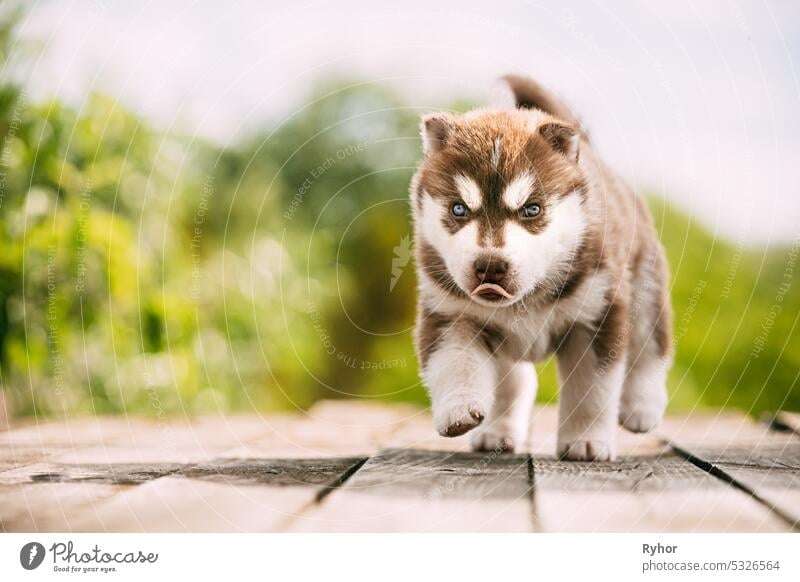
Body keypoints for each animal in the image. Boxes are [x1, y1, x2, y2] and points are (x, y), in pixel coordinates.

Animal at [410, 76, 672, 460]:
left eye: (531, 209)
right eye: (459, 209)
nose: (489, 267)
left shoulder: (596, 316)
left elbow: (592, 393)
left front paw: (585, 441)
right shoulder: (451, 312)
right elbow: (454, 363)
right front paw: (458, 410)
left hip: (645, 285)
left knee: (650, 349)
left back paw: (642, 407)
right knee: (515, 381)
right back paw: (497, 433)